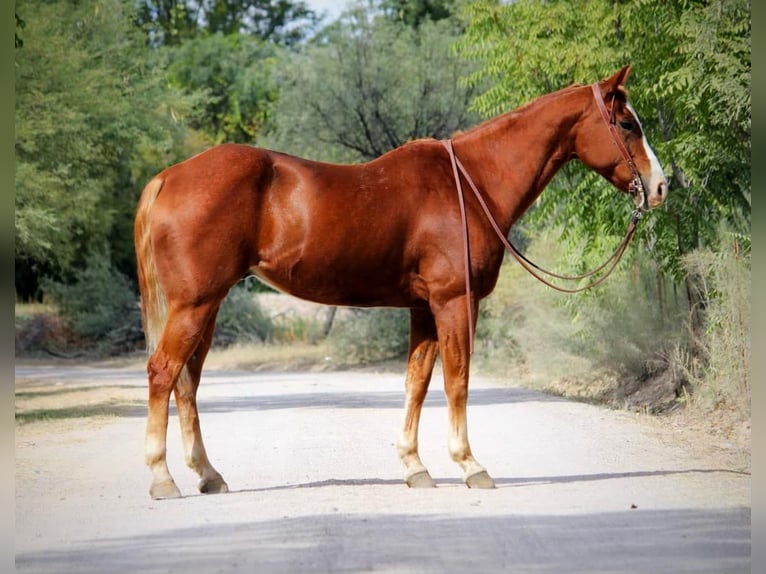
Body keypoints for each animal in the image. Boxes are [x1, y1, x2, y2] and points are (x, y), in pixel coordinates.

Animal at [134, 65, 667, 499]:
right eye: (626, 123)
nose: (660, 187)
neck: (472, 182)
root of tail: (169, 177)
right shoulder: (455, 303)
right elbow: (457, 382)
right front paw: (470, 465)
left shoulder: (423, 309)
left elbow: (417, 383)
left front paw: (415, 468)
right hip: (195, 304)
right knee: (164, 372)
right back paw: (161, 478)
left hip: (206, 305)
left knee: (187, 381)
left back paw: (208, 475)